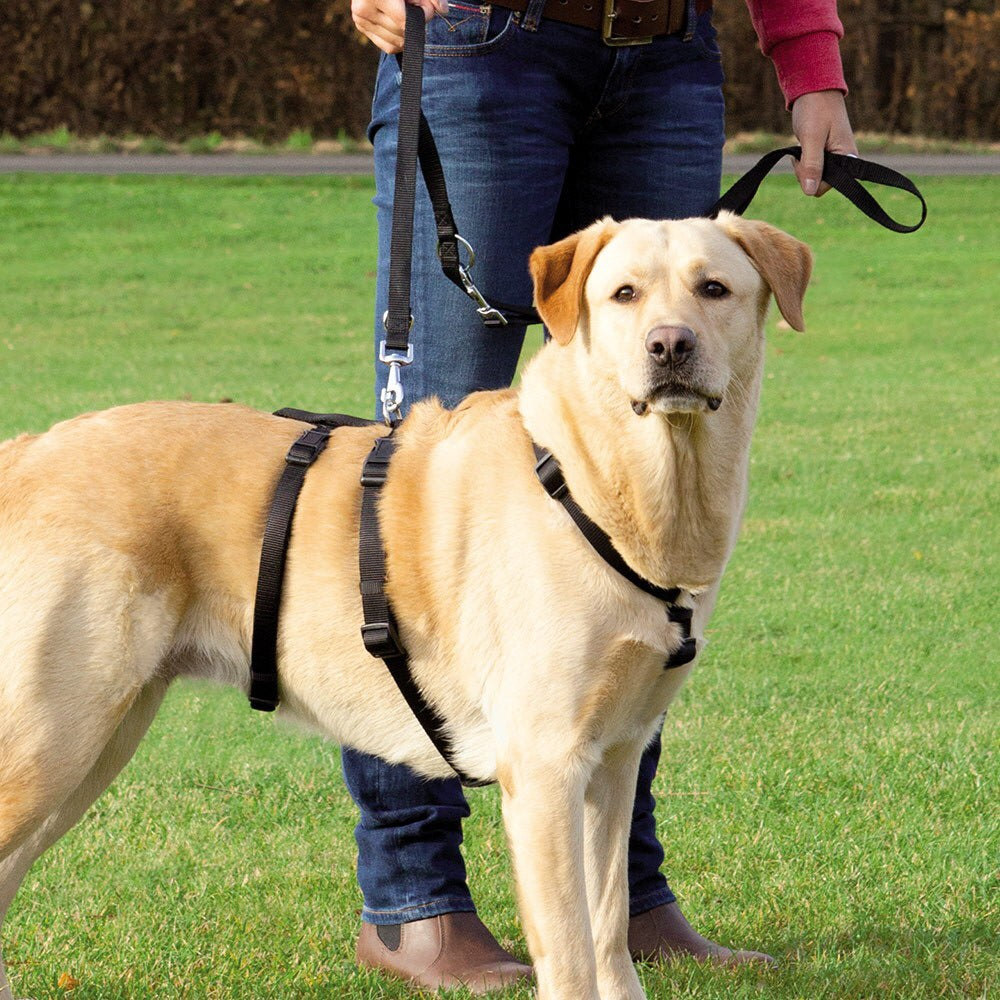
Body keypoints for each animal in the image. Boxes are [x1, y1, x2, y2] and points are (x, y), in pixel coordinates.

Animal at [0, 213, 808, 1000]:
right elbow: (573, 956)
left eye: (713, 289)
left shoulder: (614, 760)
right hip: (55, 738)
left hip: (99, 740)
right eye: (625, 294)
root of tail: (27, 449)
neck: (601, 483)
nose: (670, 345)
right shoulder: (544, 766)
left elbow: (609, 933)